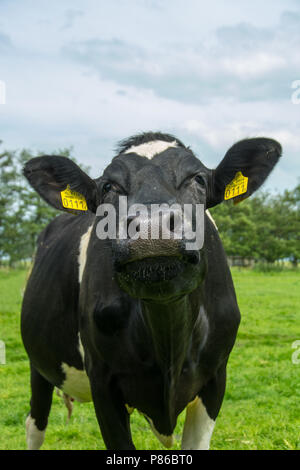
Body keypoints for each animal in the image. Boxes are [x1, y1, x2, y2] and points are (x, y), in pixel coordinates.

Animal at [21, 130, 282, 450]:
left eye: (198, 178)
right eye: (108, 186)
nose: (151, 227)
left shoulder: (215, 376)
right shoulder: (102, 380)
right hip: (37, 364)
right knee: (35, 425)